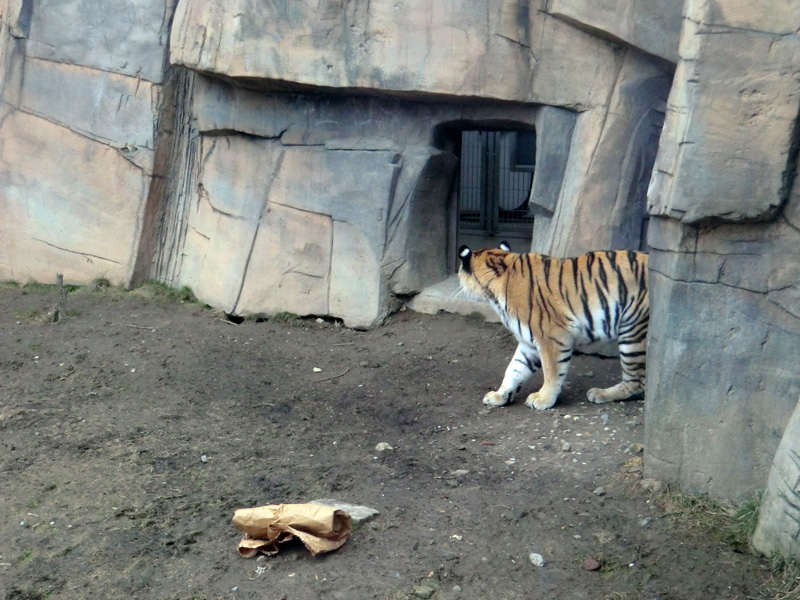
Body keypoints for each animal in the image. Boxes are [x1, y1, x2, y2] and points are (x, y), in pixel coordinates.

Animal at [456, 241, 648, 410]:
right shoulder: (527, 342)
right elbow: (514, 369)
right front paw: (499, 395)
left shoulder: (552, 336)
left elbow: (552, 372)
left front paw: (544, 399)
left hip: (633, 331)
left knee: (637, 381)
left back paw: (601, 393)